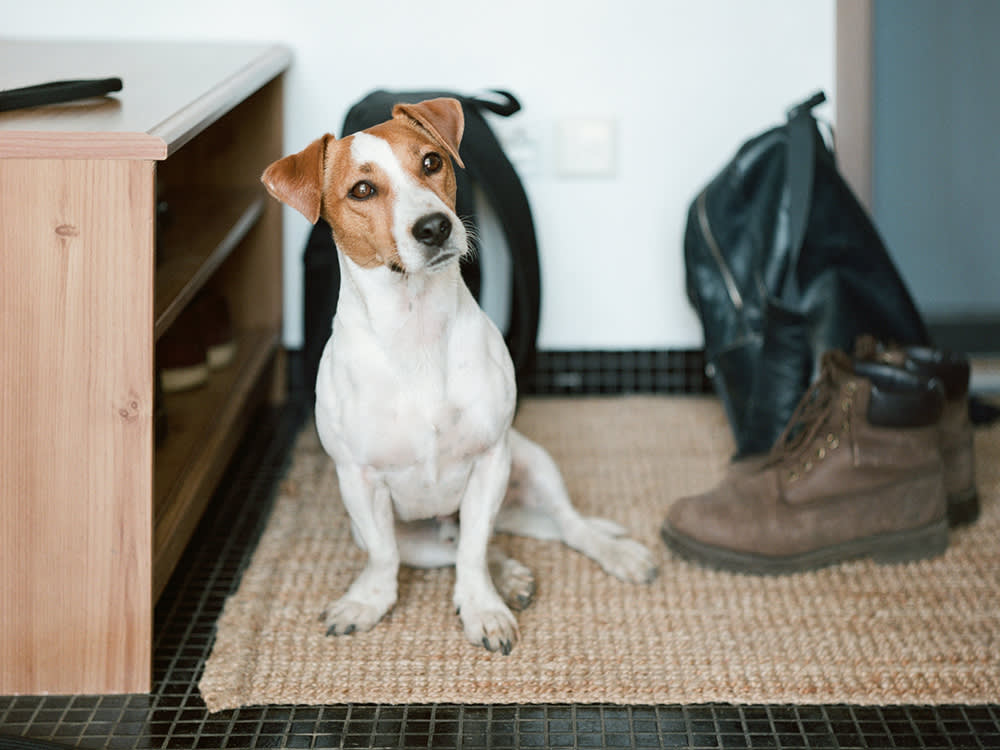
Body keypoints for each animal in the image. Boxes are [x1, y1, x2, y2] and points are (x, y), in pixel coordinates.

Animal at [262, 97, 660, 656]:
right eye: (362, 190)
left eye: (431, 162)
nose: (434, 227)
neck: (416, 328)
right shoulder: (358, 480)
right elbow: (387, 557)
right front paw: (368, 601)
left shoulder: (491, 460)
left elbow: (475, 551)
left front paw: (482, 608)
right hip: (417, 538)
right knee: (453, 549)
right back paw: (511, 574)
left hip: (532, 462)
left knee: (562, 526)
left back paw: (608, 555)